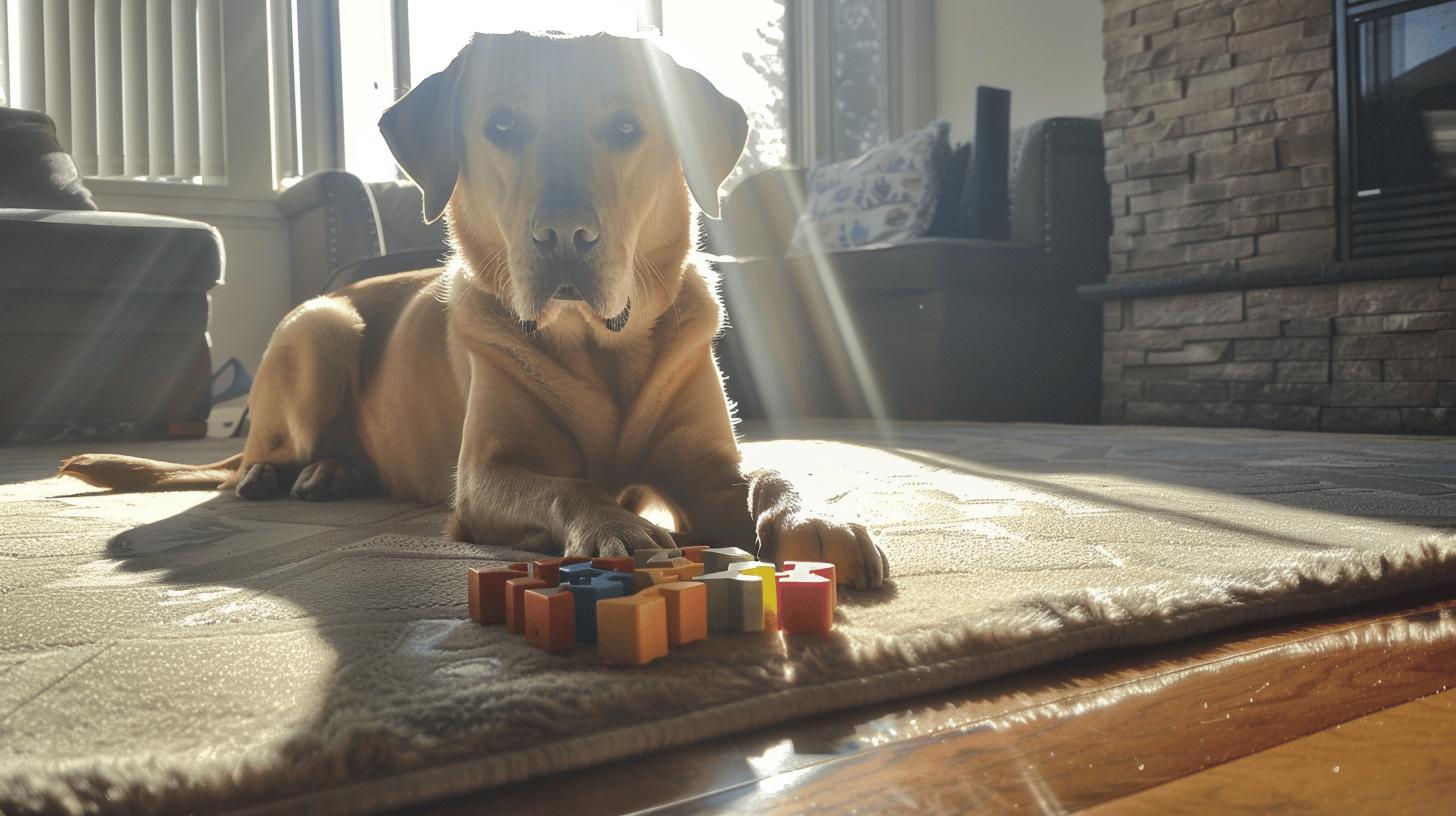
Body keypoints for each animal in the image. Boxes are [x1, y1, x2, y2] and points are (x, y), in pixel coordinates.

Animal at [59, 31, 885, 588]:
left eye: (627, 129)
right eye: (503, 127)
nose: (563, 237)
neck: (596, 349)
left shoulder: (707, 465)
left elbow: (769, 473)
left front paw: (816, 517)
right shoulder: (485, 476)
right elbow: (566, 485)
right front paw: (620, 526)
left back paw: (334, 472)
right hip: (322, 329)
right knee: (248, 461)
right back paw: (280, 472)